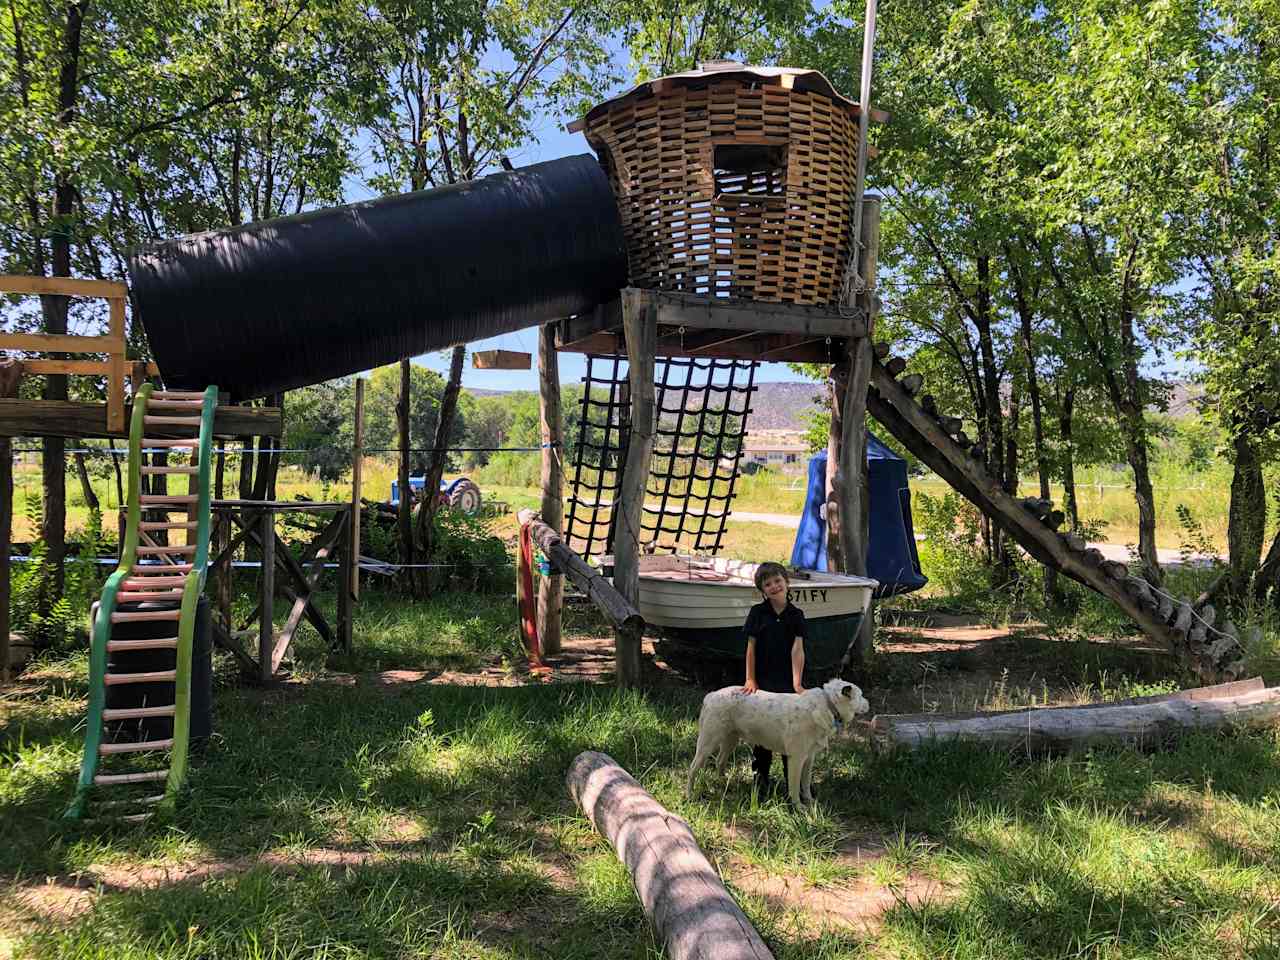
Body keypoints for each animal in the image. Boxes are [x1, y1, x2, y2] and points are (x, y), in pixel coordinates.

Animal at [691, 680, 870, 808]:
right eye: (861, 695)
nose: (868, 704)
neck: (828, 704)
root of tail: (711, 695)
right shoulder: (796, 759)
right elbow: (794, 786)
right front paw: (798, 807)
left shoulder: (809, 758)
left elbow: (805, 784)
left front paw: (810, 801)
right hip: (707, 743)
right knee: (693, 768)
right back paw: (689, 795)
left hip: (730, 740)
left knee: (720, 761)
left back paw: (723, 784)